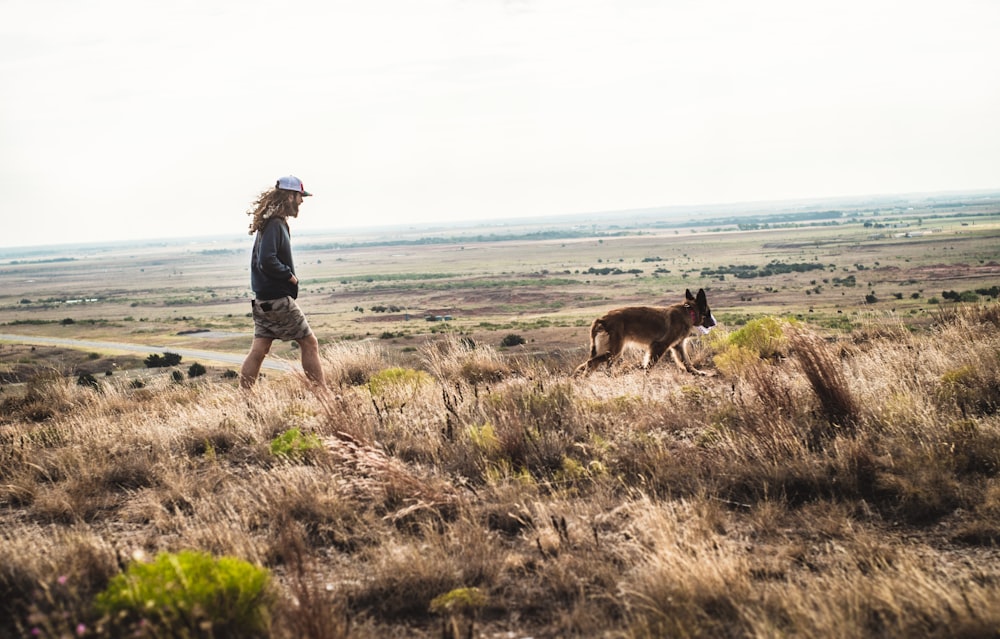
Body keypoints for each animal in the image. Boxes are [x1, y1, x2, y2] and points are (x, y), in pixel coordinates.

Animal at [576, 288, 716, 376]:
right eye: (708, 312)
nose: (714, 324)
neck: (688, 311)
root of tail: (601, 319)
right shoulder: (659, 346)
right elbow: (649, 366)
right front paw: (646, 381)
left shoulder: (677, 346)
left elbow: (687, 362)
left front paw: (697, 373)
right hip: (614, 352)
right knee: (591, 362)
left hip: (610, 352)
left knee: (588, 364)